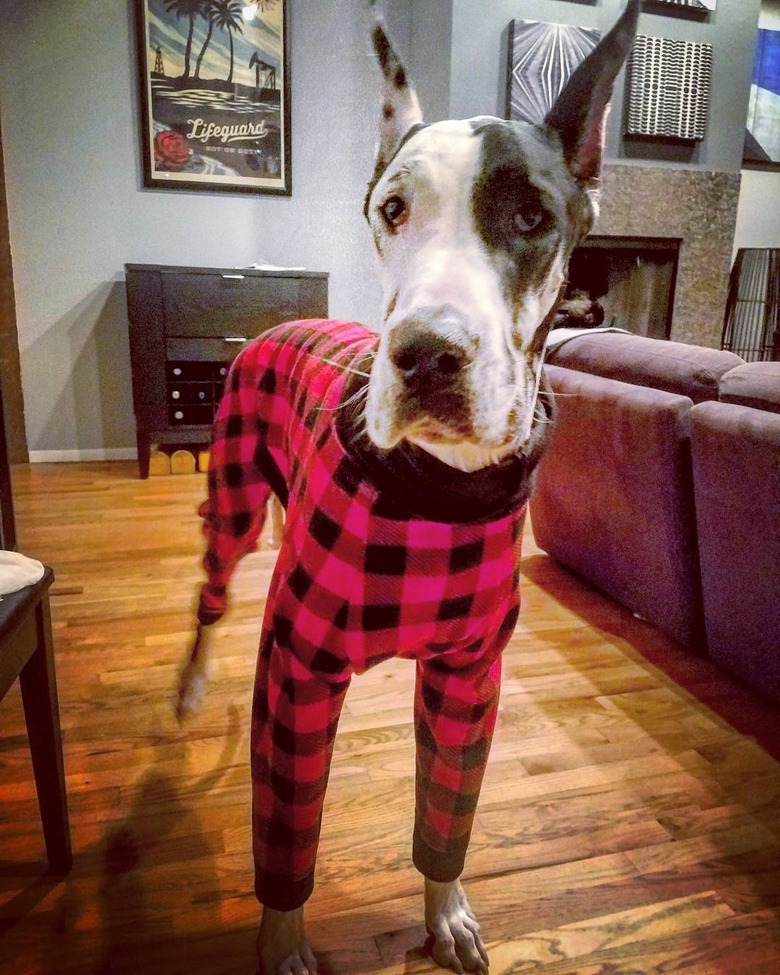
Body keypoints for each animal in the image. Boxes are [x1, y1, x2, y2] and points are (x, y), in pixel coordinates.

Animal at [180, 3, 644, 972]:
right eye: (392, 209)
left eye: (529, 213)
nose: (426, 353)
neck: (437, 492)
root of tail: (280, 318)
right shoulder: (295, 677)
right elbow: (288, 827)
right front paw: (284, 937)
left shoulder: (470, 678)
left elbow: (449, 810)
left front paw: (446, 907)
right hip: (230, 499)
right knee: (210, 591)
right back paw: (193, 686)